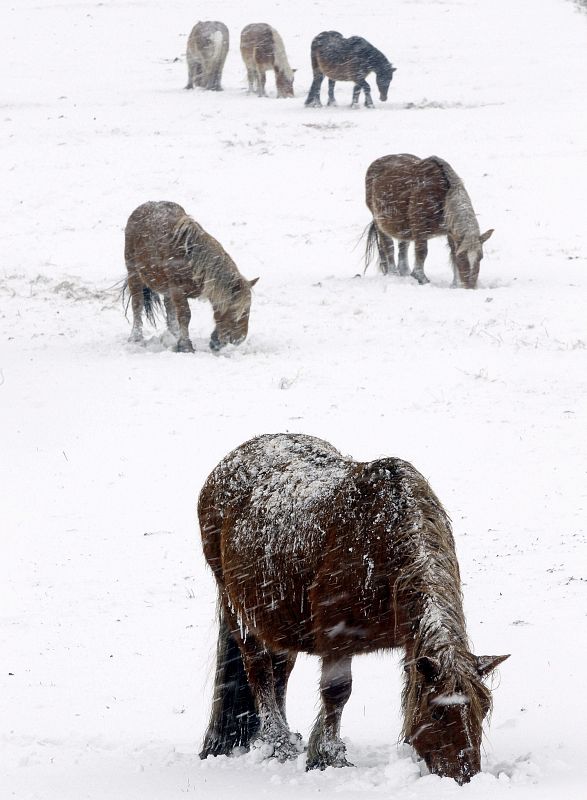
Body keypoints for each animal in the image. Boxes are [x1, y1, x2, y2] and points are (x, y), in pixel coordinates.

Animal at [123, 201, 258, 353]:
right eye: (236, 310)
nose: (239, 339)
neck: (193, 262)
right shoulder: (178, 290)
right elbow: (185, 315)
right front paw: (185, 346)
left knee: (169, 309)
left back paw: (173, 335)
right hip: (134, 274)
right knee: (137, 304)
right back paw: (136, 337)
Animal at [198, 433, 509, 783]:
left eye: (484, 708)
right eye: (438, 711)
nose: (465, 777)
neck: (382, 545)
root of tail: (225, 465)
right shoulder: (336, 637)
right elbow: (337, 692)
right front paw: (328, 756)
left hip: (277, 620)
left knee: (279, 672)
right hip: (240, 612)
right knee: (260, 672)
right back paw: (277, 744)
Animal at [365, 154, 494, 288]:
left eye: (480, 257)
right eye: (462, 257)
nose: (470, 287)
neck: (442, 197)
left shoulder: (451, 232)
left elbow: (452, 254)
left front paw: (455, 284)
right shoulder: (419, 228)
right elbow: (422, 252)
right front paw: (421, 278)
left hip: (403, 226)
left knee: (403, 246)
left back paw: (404, 273)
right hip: (379, 222)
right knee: (388, 246)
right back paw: (393, 273)